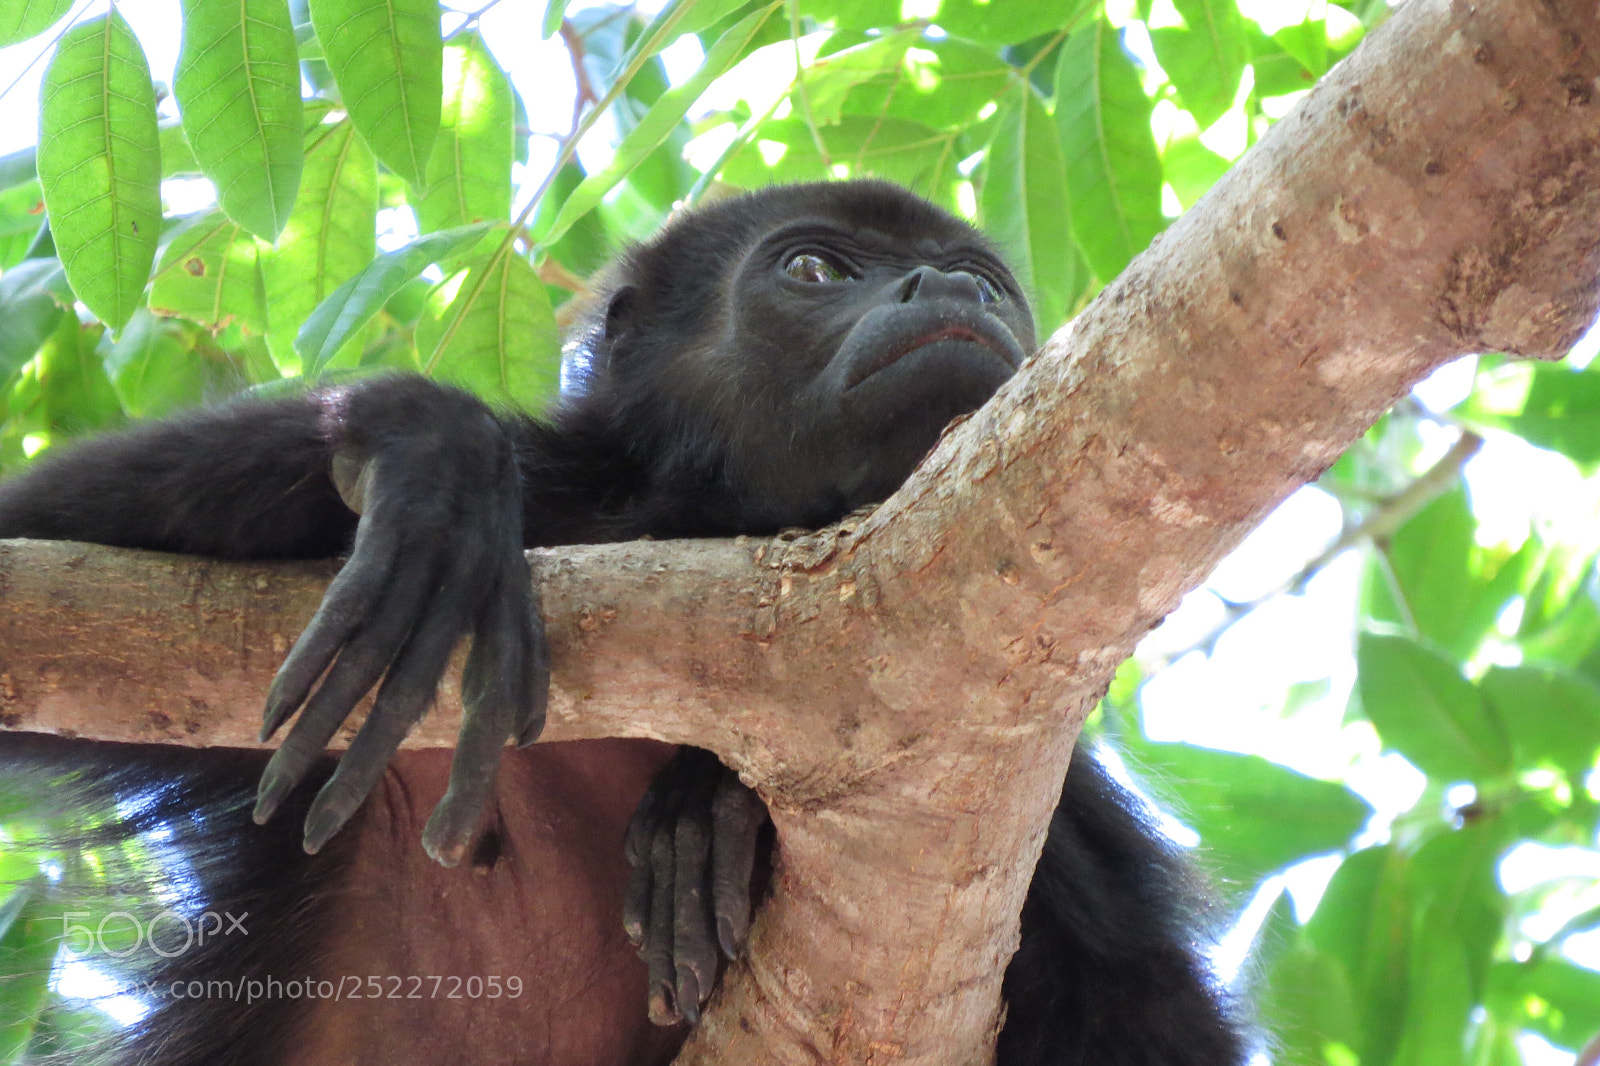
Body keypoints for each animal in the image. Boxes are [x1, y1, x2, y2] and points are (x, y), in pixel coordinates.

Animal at [0, 179, 1247, 1065]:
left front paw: (711, 800)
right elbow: (43, 551)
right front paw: (431, 453)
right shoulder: (572, 488)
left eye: (985, 280)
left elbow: (1143, 1002)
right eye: (816, 267)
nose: (955, 291)